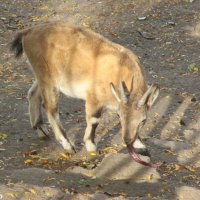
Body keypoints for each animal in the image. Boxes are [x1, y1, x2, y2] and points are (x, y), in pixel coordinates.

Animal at [11, 21, 159, 159]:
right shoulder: (94, 97)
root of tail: (28, 33)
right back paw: (68, 145)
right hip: (47, 78)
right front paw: (91, 146)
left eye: (143, 120)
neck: (121, 71)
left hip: (44, 76)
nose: (127, 141)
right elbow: (94, 120)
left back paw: (40, 129)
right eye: (121, 117)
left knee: (33, 94)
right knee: (50, 108)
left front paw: (141, 147)